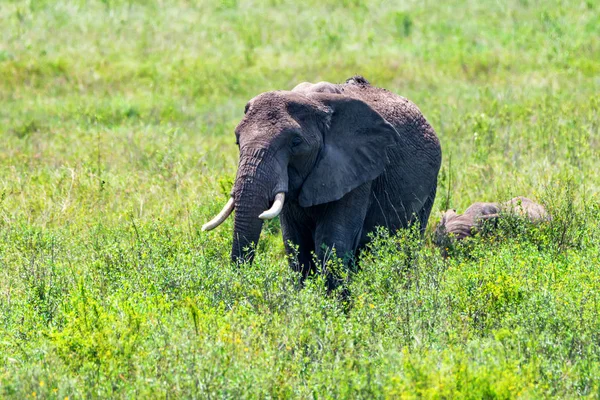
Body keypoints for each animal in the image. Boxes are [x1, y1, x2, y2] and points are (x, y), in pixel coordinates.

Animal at [204, 76, 442, 284]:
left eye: (296, 142)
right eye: (237, 140)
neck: (313, 101)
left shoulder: (357, 173)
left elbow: (332, 242)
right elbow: (296, 243)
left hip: (431, 186)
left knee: (409, 243)